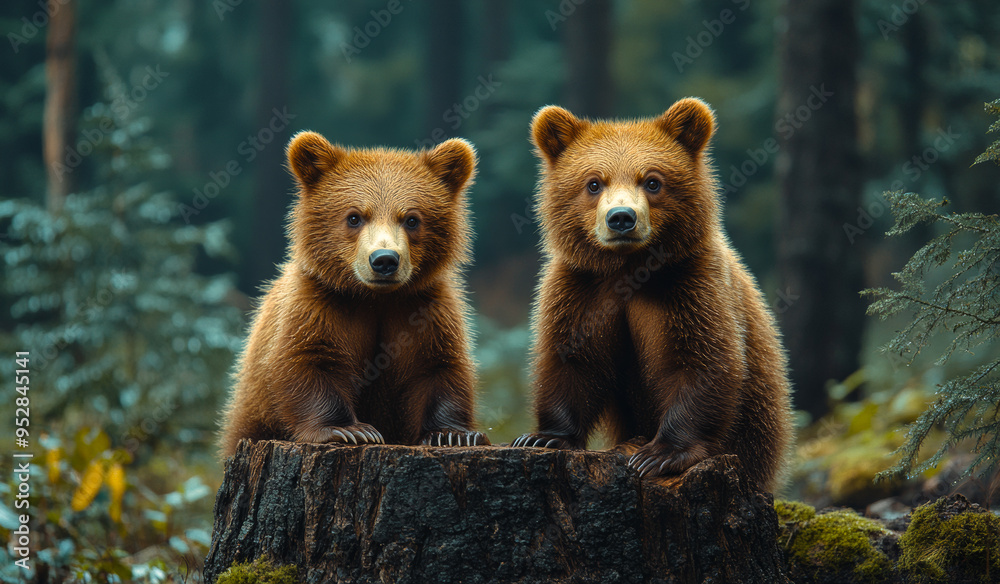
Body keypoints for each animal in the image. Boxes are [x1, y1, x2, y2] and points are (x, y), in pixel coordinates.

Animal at [219, 131, 489, 458]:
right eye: (355, 217)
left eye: (411, 218)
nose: (384, 260)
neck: (375, 298)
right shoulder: (319, 306)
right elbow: (307, 363)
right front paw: (350, 430)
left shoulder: (425, 310)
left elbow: (439, 367)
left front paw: (452, 434)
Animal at [513, 98, 792, 492]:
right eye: (593, 182)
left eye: (652, 181)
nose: (621, 218)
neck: (628, 269)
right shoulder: (581, 289)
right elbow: (571, 358)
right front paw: (543, 437)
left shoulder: (689, 287)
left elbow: (702, 361)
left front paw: (660, 454)